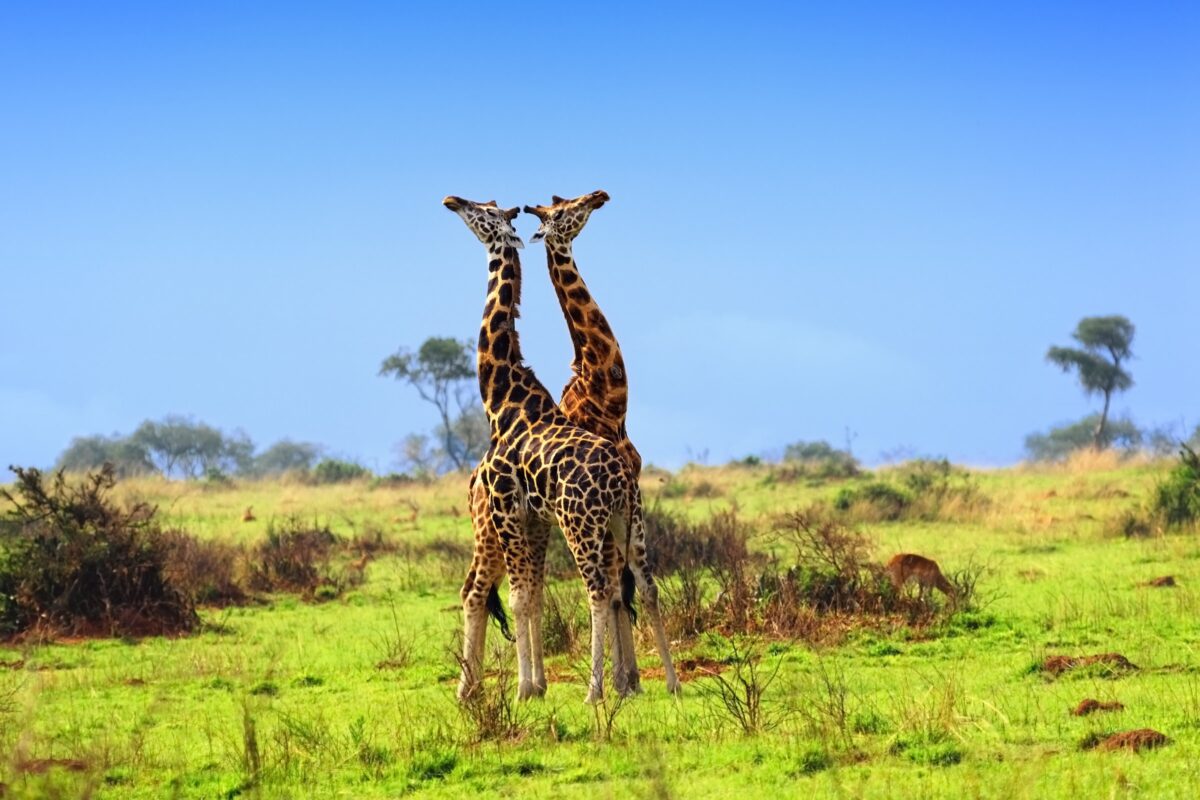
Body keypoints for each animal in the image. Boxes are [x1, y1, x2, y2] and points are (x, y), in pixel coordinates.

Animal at [444, 195, 656, 703]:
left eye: (484, 211)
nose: (451, 200)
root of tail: (471, 479)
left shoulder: (525, 513)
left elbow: (538, 595)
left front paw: (538, 685)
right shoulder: (527, 514)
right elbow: (534, 595)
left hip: (542, 524)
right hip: (499, 528)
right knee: (476, 589)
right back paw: (470, 688)